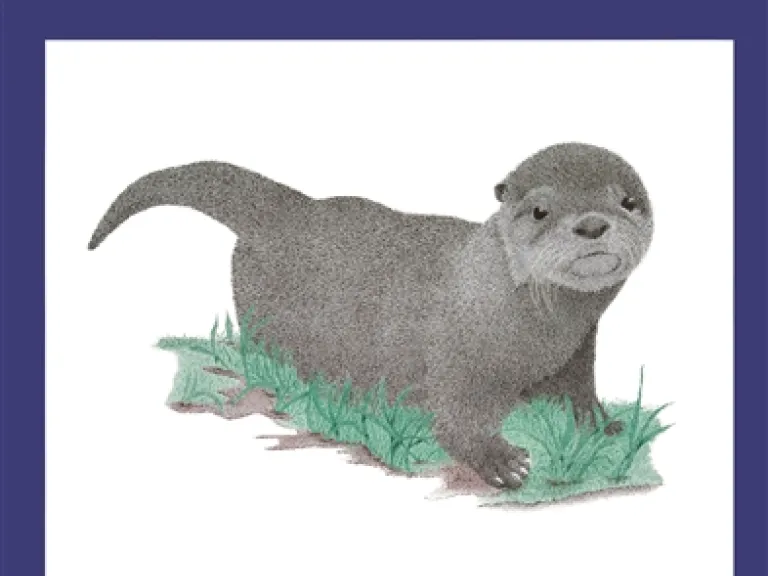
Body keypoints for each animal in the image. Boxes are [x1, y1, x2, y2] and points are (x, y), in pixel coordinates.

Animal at [88, 142, 654, 489]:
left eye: (629, 201)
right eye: (540, 211)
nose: (592, 224)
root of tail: (287, 209)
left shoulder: (579, 347)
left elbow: (577, 390)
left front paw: (599, 426)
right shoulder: (456, 349)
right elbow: (455, 416)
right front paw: (499, 460)